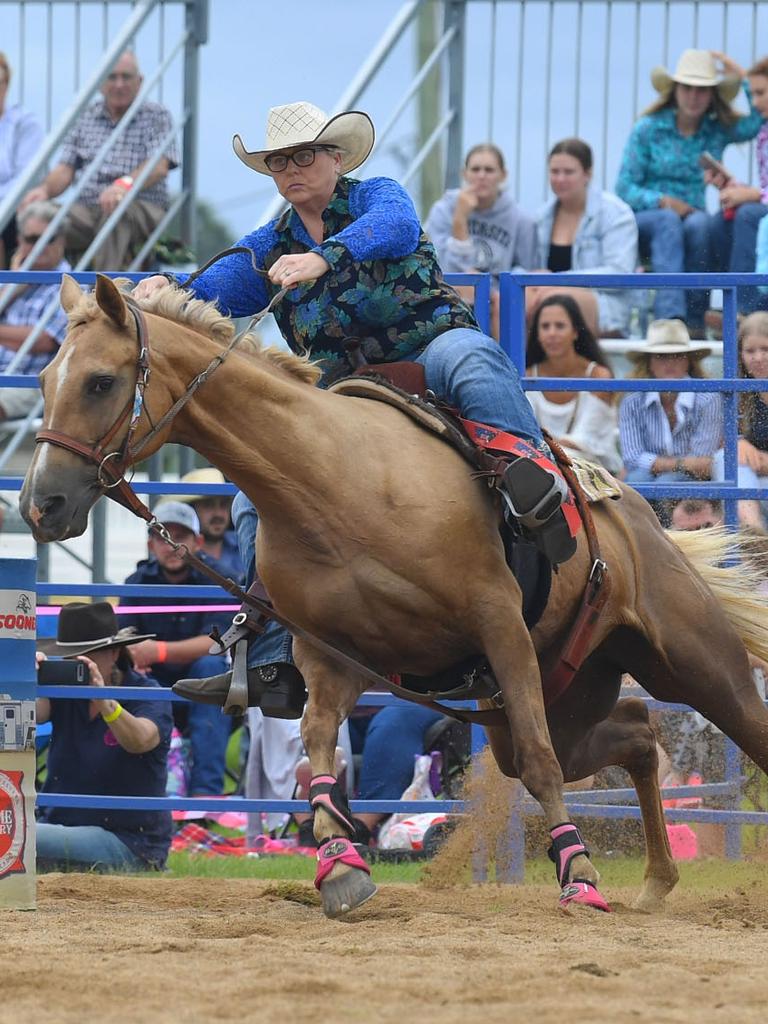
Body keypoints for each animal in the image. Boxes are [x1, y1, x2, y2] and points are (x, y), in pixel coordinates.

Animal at [20, 274, 768, 921]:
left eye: (100, 381)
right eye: (47, 380)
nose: (40, 503)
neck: (331, 478)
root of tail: (641, 517)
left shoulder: (499, 623)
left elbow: (539, 762)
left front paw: (579, 878)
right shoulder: (332, 657)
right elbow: (317, 747)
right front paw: (340, 867)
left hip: (692, 662)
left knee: (729, 722)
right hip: (567, 691)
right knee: (638, 732)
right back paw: (656, 878)